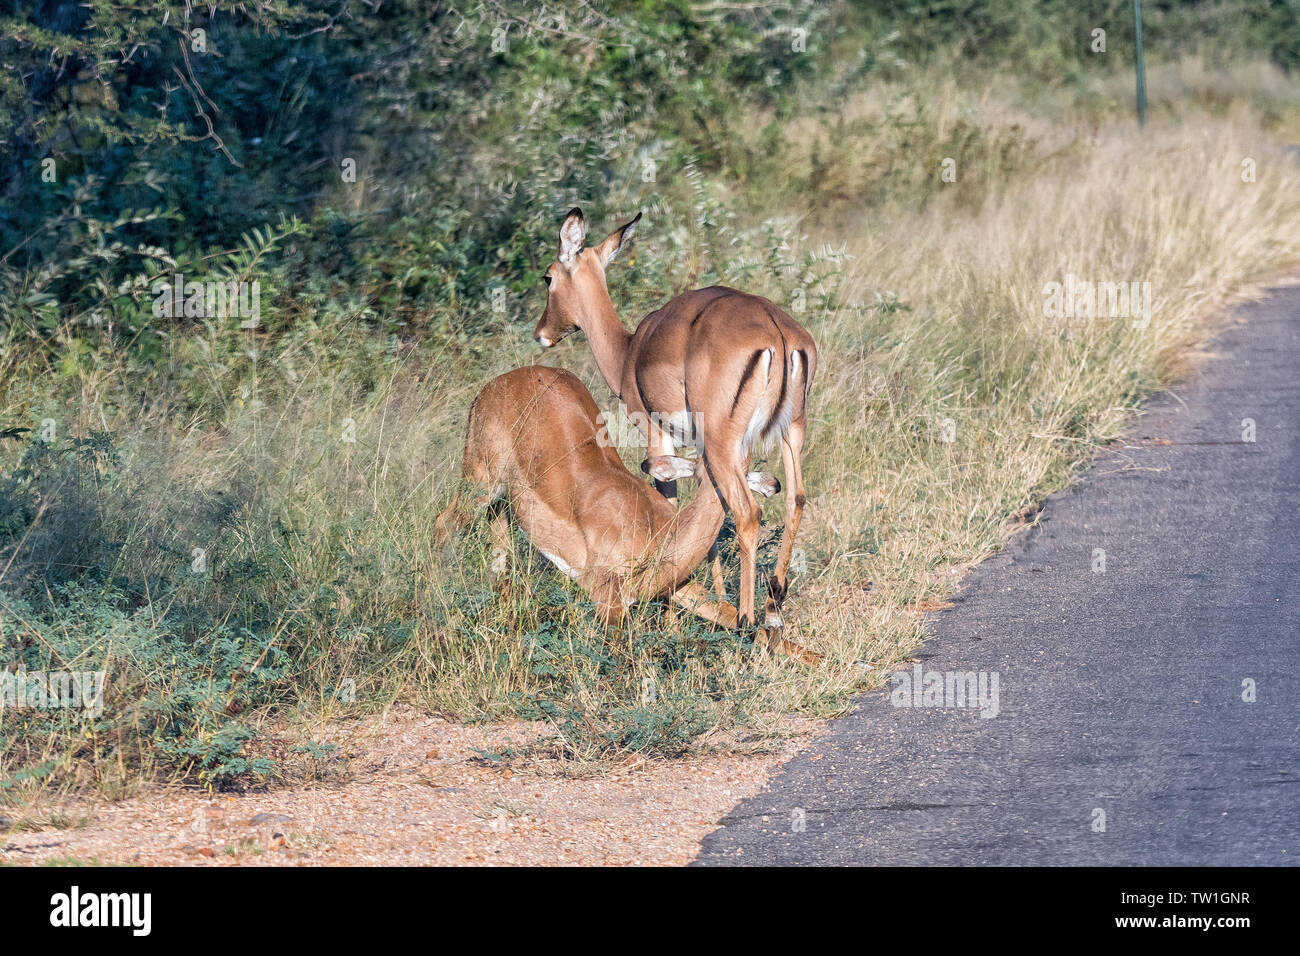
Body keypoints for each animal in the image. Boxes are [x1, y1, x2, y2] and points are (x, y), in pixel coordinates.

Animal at [435, 365, 821, 663]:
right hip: (480, 482)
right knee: (443, 524)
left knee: (497, 555)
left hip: (500, 504)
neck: (655, 532)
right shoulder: (605, 595)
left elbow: (750, 625)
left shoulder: (677, 588)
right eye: (712, 467)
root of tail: (496, 383)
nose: (757, 493)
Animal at [533, 208, 817, 631]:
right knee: (795, 498)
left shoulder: (655, 434)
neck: (629, 352)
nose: (542, 333)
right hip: (790, 432)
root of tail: (777, 331)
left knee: (749, 513)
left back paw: (747, 619)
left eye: (549, 276)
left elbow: (670, 505)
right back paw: (772, 609)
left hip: (723, 444)